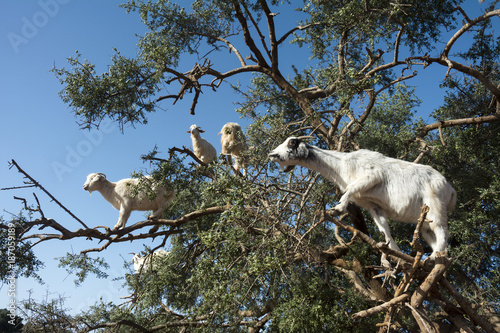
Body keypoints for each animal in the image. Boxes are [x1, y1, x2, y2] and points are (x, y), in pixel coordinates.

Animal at [270, 136, 458, 258]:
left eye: (291, 143)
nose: (271, 154)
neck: (340, 165)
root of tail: (450, 189)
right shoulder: (373, 205)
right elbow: (383, 228)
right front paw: (394, 252)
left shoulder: (372, 175)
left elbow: (350, 189)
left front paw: (337, 209)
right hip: (425, 222)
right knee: (432, 236)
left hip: (435, 205)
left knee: (443, 232)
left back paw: (433, 257)